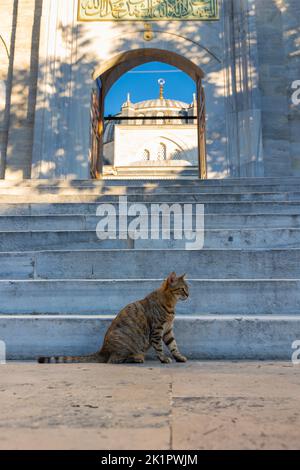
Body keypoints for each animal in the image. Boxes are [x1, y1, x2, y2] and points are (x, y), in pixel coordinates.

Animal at [37, 272, 188, 368]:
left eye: (187, 288)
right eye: (182, 289)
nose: (188, 294)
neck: (170, 304)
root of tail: (103, 350)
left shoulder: (168, 330)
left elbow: (173, 346)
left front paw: (179, 357)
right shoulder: (157, 330)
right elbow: (160, 347)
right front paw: (163, 358)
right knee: (113, 360)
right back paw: (137, 357)